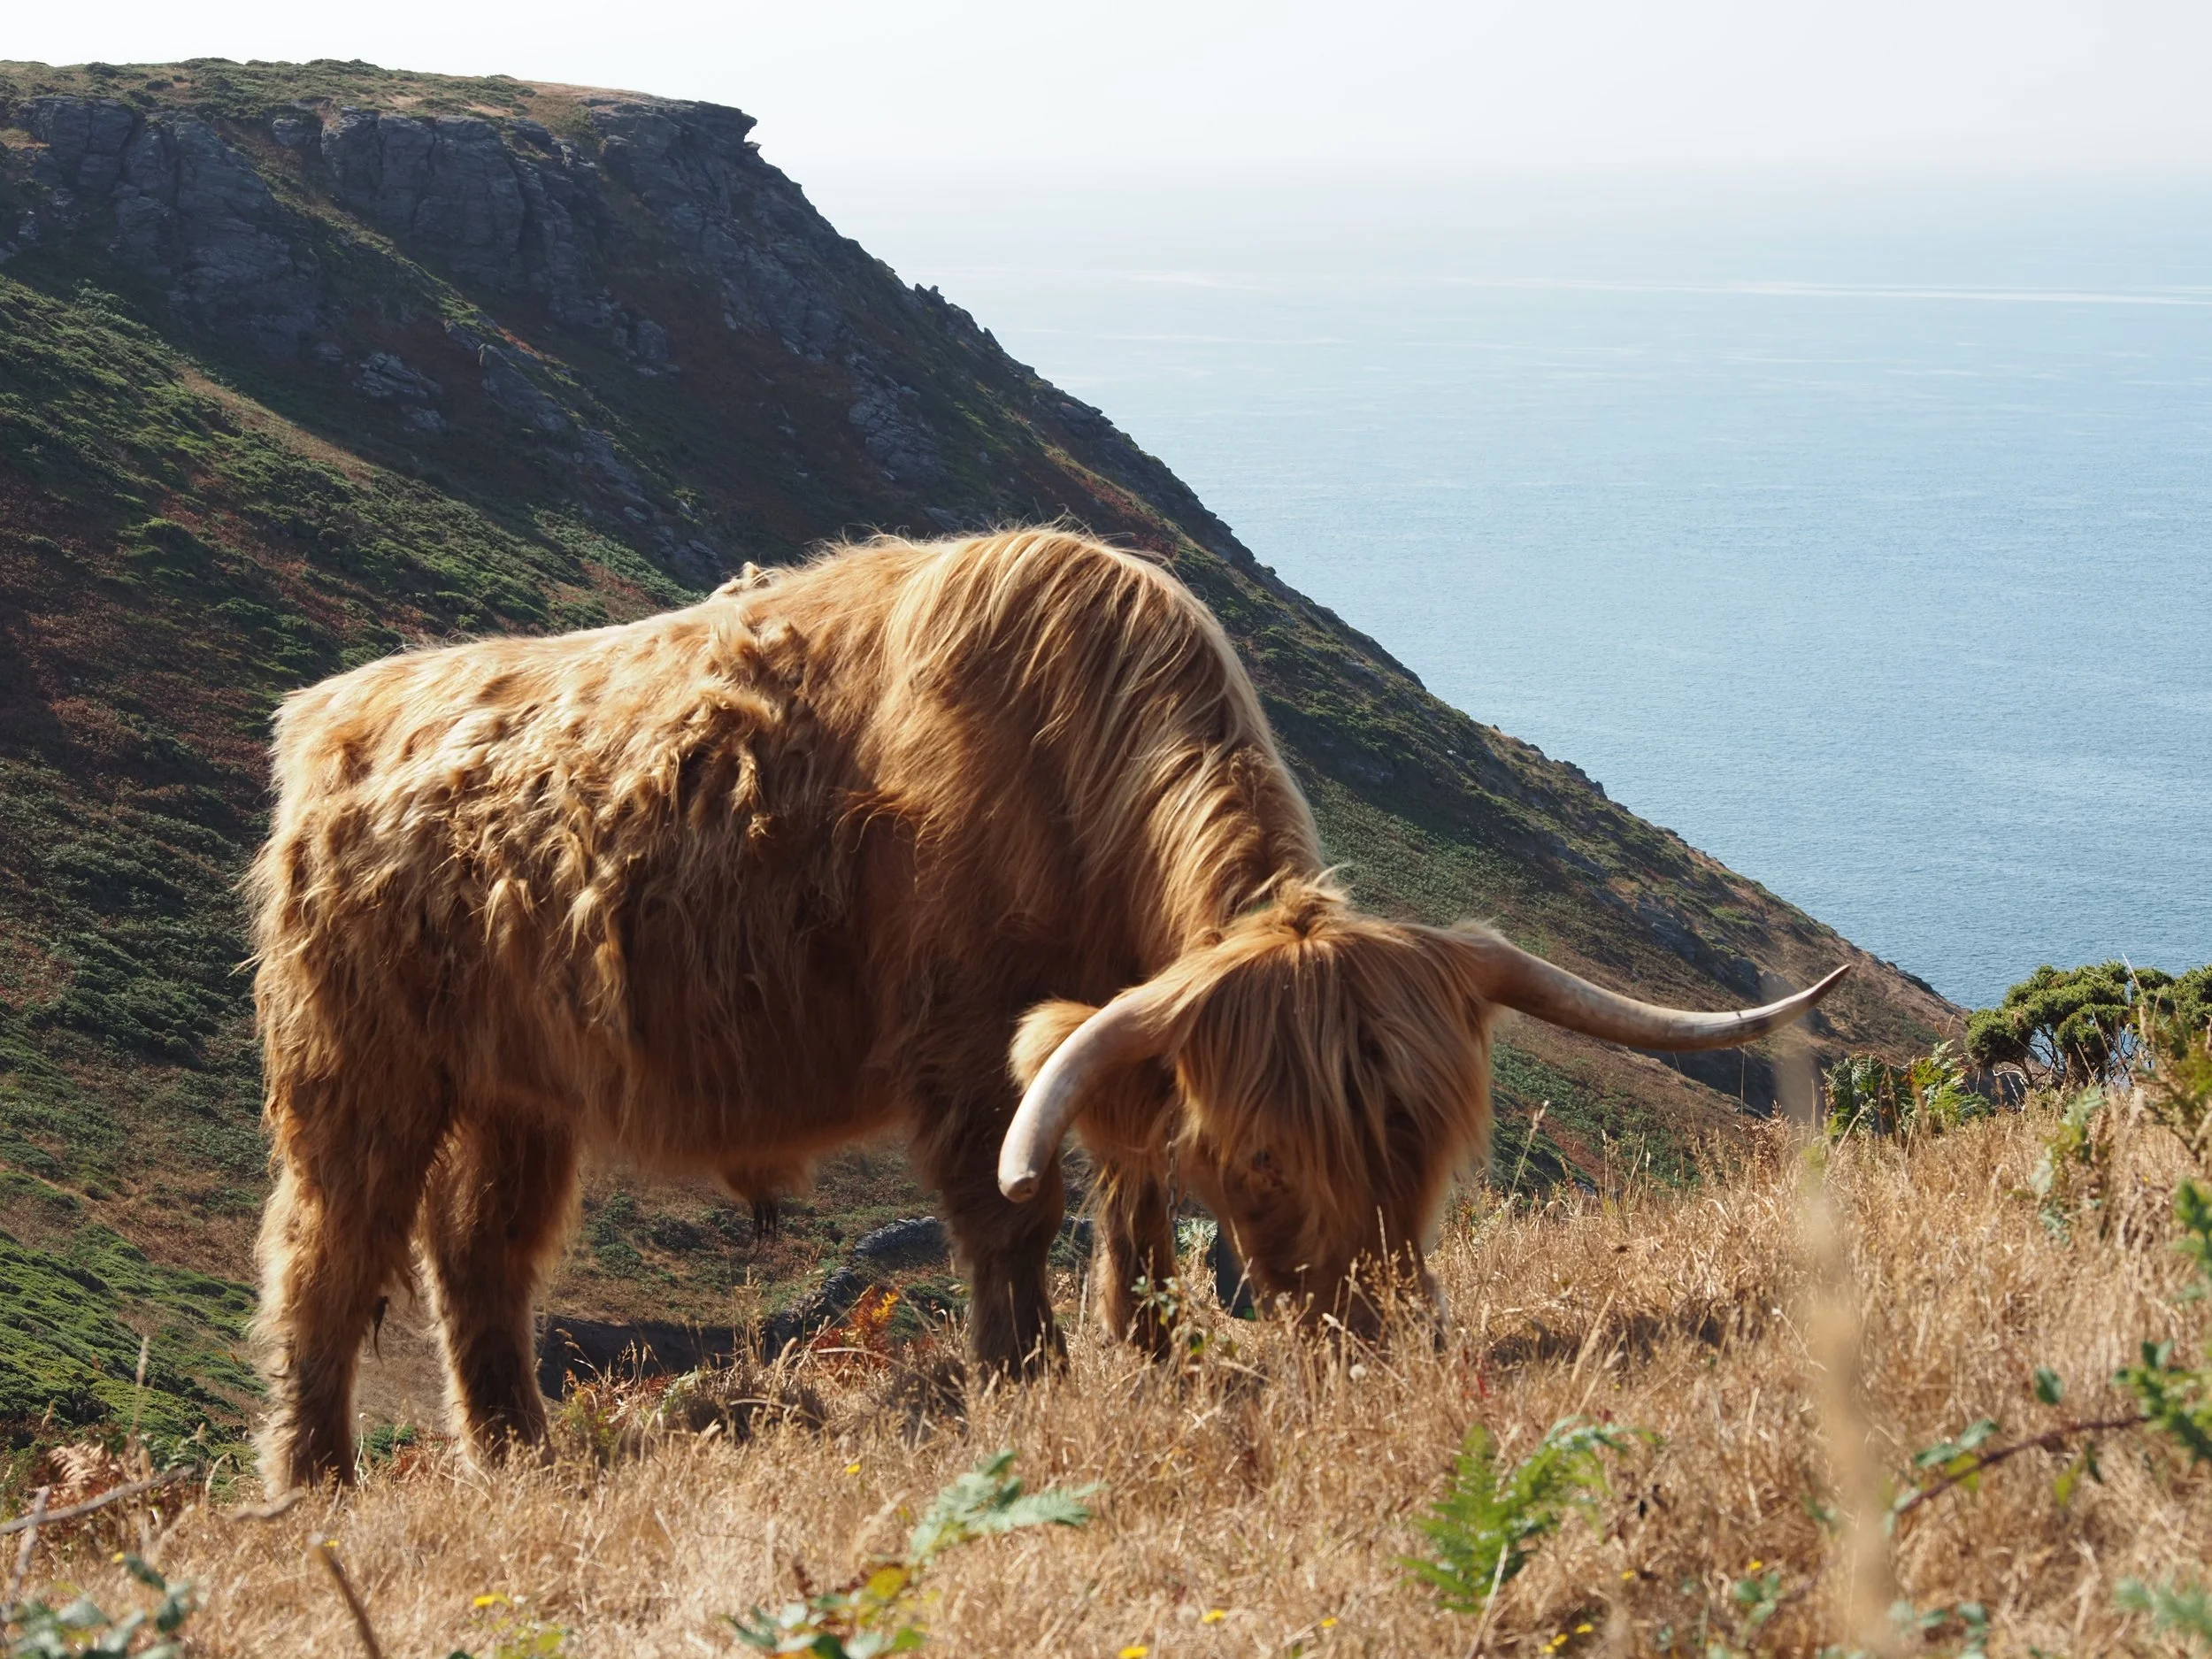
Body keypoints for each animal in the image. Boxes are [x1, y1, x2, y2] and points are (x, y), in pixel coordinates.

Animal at [246, 529, 1841, 1487]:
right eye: (1269, 1165)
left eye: (1428, 1145)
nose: (1376, 1344)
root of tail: (332, 715)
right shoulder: (965, 1048)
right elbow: (1013, 1210)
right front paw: (1028, 1377)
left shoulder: (1121, 1024)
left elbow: (1130, 1190)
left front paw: (1147, 1344)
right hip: (358, 1069)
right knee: (327, 1255)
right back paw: (317, 1477)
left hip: (523, 1090)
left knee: (481, 1257)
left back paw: (514, 1450)